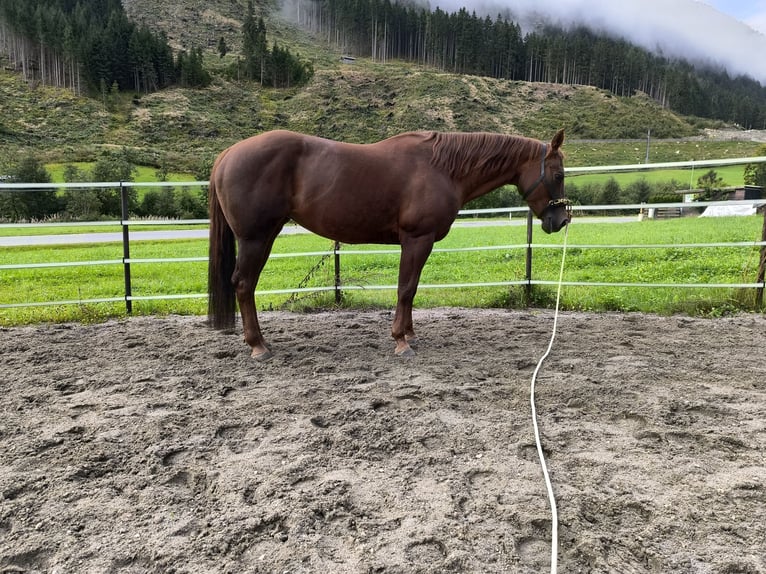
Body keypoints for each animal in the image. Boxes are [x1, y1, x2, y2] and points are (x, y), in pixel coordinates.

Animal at [207, 129, 570, 360]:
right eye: (559, 175)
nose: (561, 220)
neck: (442, 168)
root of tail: (228, 154)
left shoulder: (419, 243)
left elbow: (411, 289)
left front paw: (409, 334)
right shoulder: (417, 239)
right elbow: (405, 289)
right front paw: (400, 341)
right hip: (256, 239)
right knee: (244, 284)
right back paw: (258, 346)